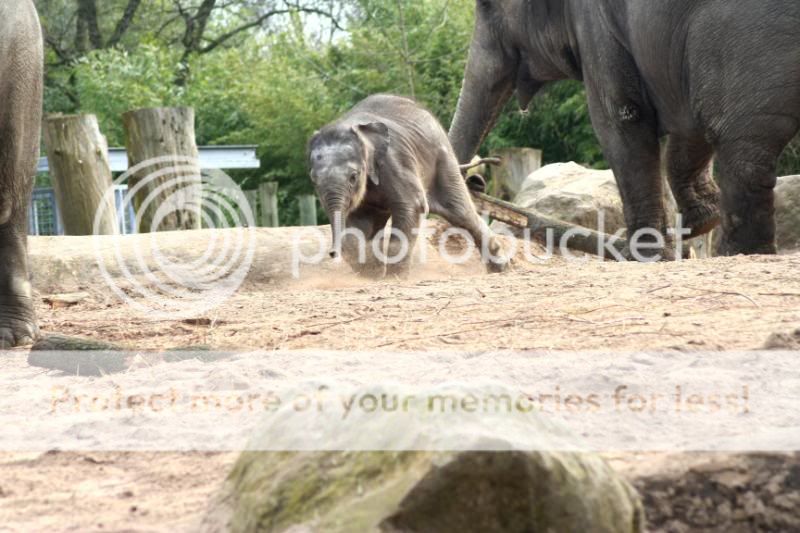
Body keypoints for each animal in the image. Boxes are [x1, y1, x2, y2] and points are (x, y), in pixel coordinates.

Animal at [310, 94, 510, 278]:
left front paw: (394, 279)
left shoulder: (394, 161)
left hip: (442, 160)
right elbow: (357, 228)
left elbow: (412, 205)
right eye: (314, 180)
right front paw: (371, 277)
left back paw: (500, 268)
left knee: (460, 212)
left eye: (353, 177)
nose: (331, 253)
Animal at [450, 0, 800, 258]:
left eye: (487, 7)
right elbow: (687, 121)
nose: (476, 182)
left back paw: (738, 253)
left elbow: (621, 117)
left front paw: (645, 254)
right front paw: (699, 222)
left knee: (743, 152)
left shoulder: (598, 27)